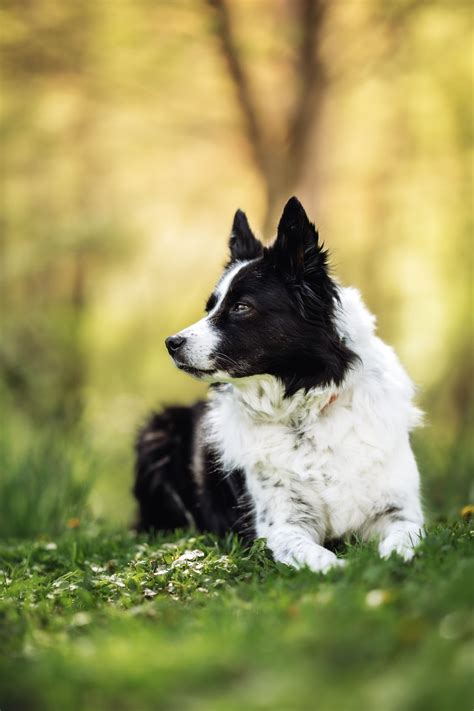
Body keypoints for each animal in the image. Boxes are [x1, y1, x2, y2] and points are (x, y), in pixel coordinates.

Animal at [134, 199, 426, 572]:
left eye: (240, 307)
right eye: (210, 307)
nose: (171, 343)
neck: (305, 411)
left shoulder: (399, 510)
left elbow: (406, 536)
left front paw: (394, 560)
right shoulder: (283, 526)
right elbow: (318, 556)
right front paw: (343, 571)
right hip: (158, 431)